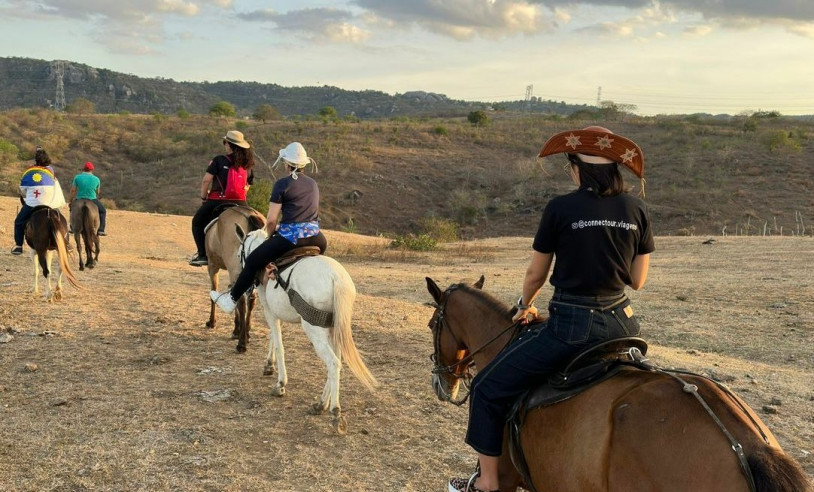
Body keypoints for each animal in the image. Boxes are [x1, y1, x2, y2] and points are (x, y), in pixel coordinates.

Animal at [206, 206, 266, 352]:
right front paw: (238, 329)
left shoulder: (212, 266)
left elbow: (213, 292)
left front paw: (212, 322)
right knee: (250, 300)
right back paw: (246, 334)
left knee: (241, 301)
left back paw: (241, 343)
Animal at [234, 225, 378, 432]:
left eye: (240, 254)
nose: (246, 287)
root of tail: (336, 278)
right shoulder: (275, 312)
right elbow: (273, 338)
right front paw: (269, 366)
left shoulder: (269, 310)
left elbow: (278, 344)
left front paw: (280, 384)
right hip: (334, 327)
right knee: (337, 361)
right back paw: (321, 404)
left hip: (314, 329)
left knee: (333, 363)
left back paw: (335, 411)